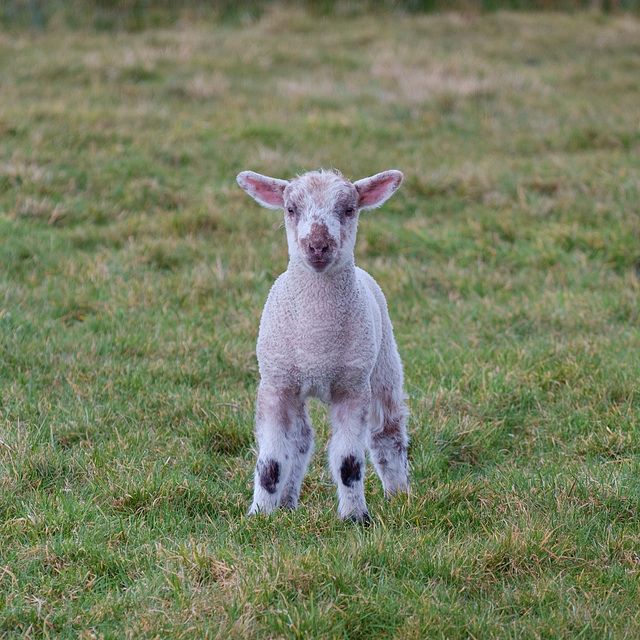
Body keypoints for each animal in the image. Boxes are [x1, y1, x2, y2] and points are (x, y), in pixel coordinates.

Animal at [236, 168, 410, 524]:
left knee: (388, 431)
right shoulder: (275, 384)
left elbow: (348, 463)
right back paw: (286, 503)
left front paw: (355, 517)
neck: (317, 340)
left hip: (384, 361)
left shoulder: (353, 388)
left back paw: (399, 494)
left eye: (349, 209)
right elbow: (271, 462)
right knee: (300, 439)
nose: (318, 246)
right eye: (290, 209)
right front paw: (259, 515)